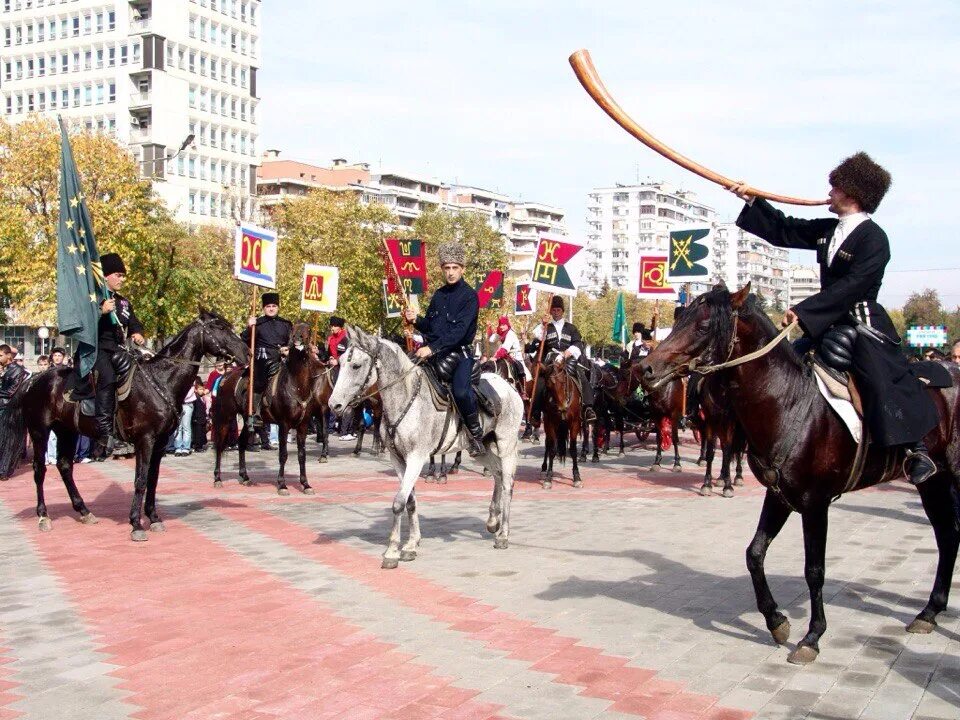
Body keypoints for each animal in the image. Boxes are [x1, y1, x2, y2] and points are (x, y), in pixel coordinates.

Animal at [0, 310, 248, 540]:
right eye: (220, 327)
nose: (246, 352)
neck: (161, 380)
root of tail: (34, 379)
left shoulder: (160, 442)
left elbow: (153, 479)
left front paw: (154, 518)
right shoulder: (145, 440)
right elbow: (140, 480)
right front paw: (136, 524)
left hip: (67, 431)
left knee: (64, 466)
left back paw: (84, 511)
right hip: (39, 431)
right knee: (39, 470)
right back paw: (43, 516)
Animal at [210, 322, 330, 496]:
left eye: (307, 329)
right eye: (294, 329)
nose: (298, 339)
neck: (296, 385)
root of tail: (225, 377)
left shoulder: (302, 425)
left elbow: (302, 455)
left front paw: (306, 484)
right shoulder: (284, 424)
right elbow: (283, 454)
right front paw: (282, 485)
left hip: (248, 421)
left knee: (241, 442)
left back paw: (244, 476)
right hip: (226, 417)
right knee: (219, 445)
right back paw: (217, 478)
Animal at [330, 326, 524, 568]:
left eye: (356, 365)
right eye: (340, 362)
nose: (333, 405)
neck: (405, 398)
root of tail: (510, 387)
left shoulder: (416, 458)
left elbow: (399, 502)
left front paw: (392, 551)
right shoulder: (398, 459)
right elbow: (410, 501)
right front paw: (411, 544)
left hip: (506, 444)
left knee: (507, 483)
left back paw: (503, 534)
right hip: (481, 448)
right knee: (497, 475)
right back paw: (492, 520)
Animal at [636, 284, 960, 668]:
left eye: (702, 326)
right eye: (678, 319)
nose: (645, 369)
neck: (789, 401)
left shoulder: (815, 504)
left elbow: (814, 570)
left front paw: (812, 636)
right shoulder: (779, 495)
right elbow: (754, 553)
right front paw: (776, 621)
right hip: (935, 482)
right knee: (947, 536)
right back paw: (929, 612)